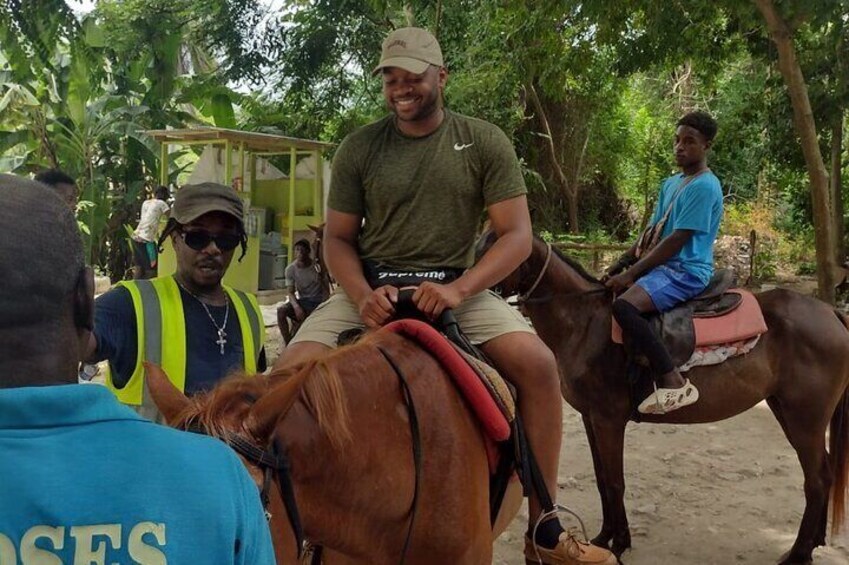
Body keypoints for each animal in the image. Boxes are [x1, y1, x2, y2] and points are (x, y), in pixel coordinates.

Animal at [476, 231, 848, 560]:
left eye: (494, 251)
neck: (585, 324)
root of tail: (830, 312)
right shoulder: (590, 418)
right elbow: (602, 479)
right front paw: (604, 537)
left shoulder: (609, 420)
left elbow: (615, 482)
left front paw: (619, 544)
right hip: (786, 410)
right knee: (825, 472)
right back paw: (814, 542)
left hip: (805, 419)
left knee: (816, 479)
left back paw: (798, 553)